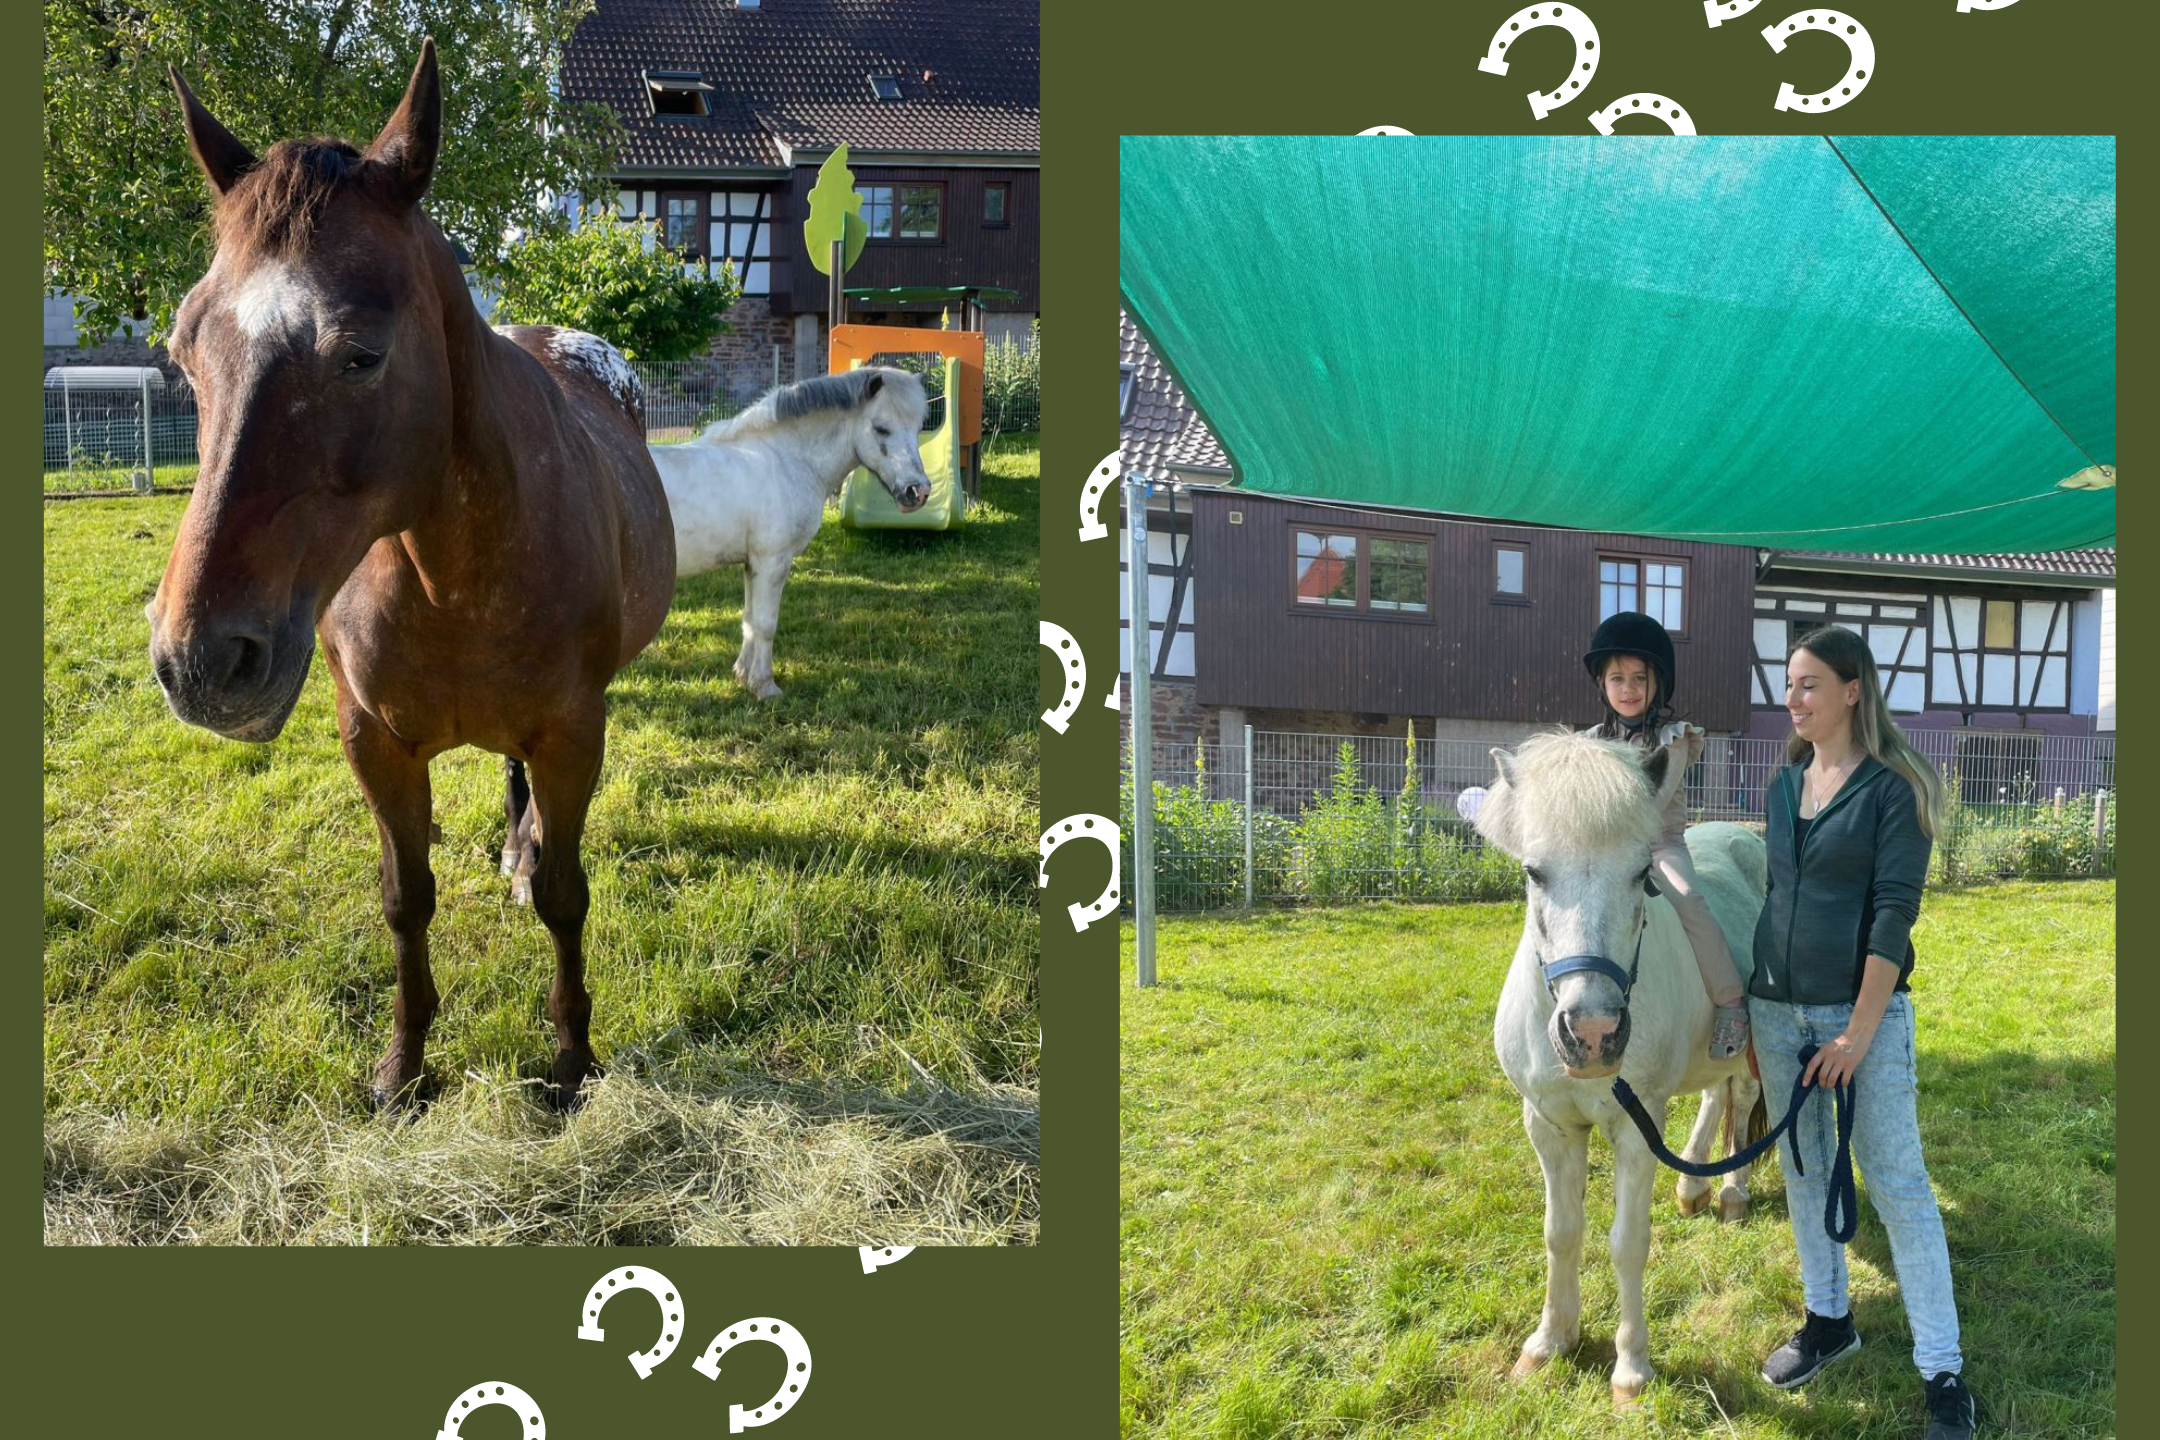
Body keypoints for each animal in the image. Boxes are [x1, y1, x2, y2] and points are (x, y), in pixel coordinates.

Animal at [148, 41, 676, 1109]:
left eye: (361, 353)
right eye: (185, 345)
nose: (199, 662)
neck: (451, 575)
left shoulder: (574, 733)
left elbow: (566, 896)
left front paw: (571, 1061)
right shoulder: (375, 743)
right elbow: (405, 898)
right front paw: (404, 1064)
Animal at [647, 367, 931, 699]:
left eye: (918, 427)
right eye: (881, 428)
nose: (917, 492)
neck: (785, 458)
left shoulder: (753, 564)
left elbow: (749, 620)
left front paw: (743, 676)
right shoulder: (773, 562)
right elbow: (765, 624)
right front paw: (765, 686)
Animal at [1472, 731, 1768, 1405]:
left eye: (1640, 874)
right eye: (1533, 871)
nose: (1592, 1033)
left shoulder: (1637, 1129)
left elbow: (1627, 1243)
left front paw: (1632, 1368)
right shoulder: (1549, 1126)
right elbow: (1561, 1232)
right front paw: (1549, 1341)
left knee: (1740, 1098)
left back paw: (1731, 1195)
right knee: (1714, 1096)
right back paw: (1693, 1188)